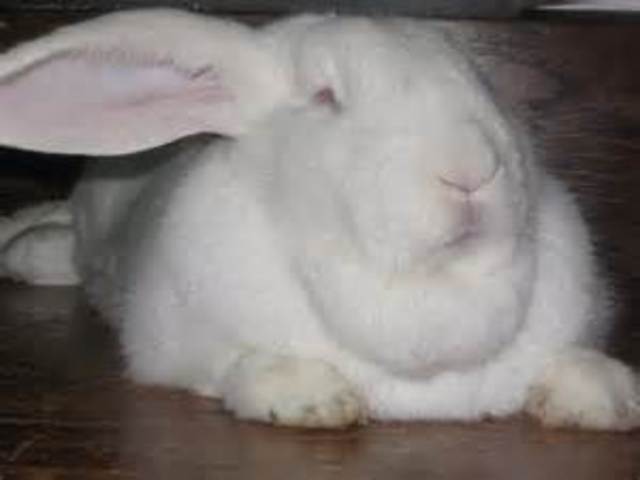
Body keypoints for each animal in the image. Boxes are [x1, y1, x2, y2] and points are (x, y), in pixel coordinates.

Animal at [0, 9, 638, 430]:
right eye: (327, 97)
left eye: (483, 81)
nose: (472, 168)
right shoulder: (177, 345)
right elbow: (238, 364)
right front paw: (309, 397)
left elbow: (568, 359)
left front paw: (605, 394)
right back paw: (27, 250)